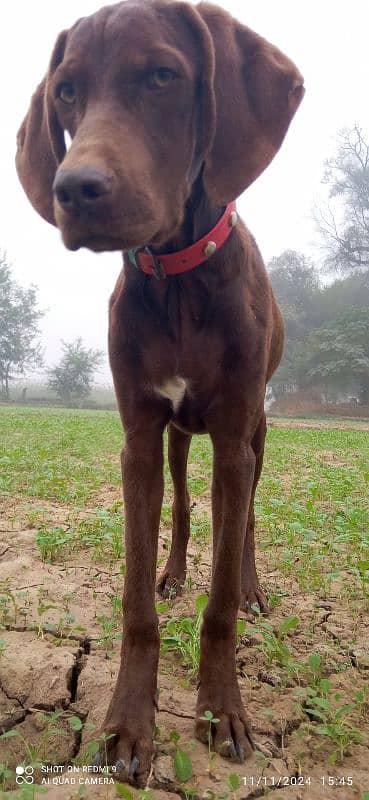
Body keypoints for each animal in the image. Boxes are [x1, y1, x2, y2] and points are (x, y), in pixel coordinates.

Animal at [15, 0, 304, 788]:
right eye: (67, 93)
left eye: (163, 77)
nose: (74, 190)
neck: (176, 277)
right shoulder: (140, 439)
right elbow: (137, 599)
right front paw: (127, 726)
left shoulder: (234, 436)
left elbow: (221, 598)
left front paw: (223, 711)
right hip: (177, 439)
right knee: (182, 506)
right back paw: (177, 573)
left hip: (254, 435)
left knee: (245, 521)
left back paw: (254, 586)